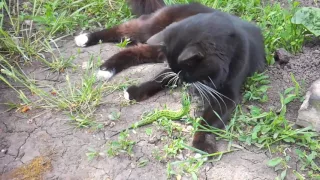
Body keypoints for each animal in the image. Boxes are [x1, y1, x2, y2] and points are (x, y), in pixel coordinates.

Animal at [74, 2, 264, 154]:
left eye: (186, 72)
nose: (185, 82)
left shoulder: (226, 95)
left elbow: (208, 120)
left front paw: (201, 142)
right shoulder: (170, 67)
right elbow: (160, 78)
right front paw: (136, 91)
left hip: (157, 48)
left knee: (135, 51)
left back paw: (106, 68)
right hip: (151, 31)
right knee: (124, 29)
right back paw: (86, 38)